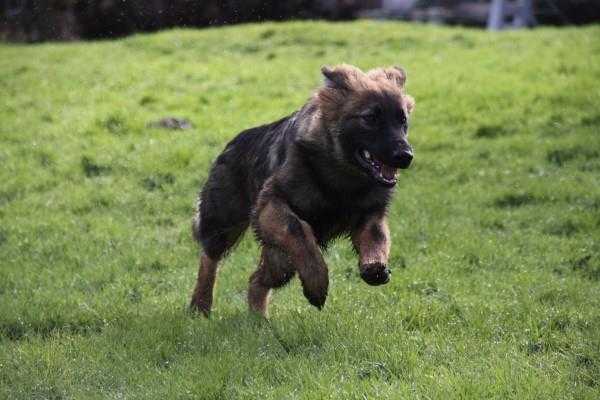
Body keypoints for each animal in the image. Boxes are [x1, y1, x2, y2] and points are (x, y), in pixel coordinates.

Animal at [190, 64, 415, 317]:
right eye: (370, 118)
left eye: (403, 121)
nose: (406, 156)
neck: (341, 174)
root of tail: (232, 143)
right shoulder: (271, 204)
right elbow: (299, 231)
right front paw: (317, 283)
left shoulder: (370, 215)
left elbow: (377, 240)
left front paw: (375, 267)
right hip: (225, 224)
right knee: (209, 259)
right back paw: (200, 305)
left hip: (280, 260)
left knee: (256, 280)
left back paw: (259, 319)